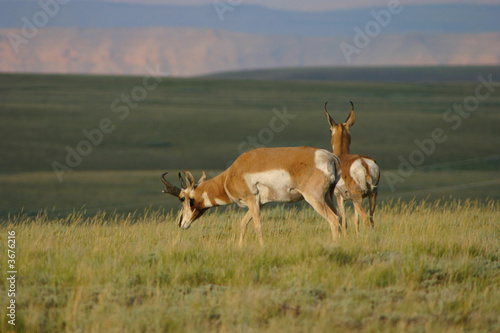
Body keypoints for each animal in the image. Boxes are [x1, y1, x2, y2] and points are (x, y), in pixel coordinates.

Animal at [162, 147, 342, 245]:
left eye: (183, 198)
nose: (180, 223)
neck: (230, 175)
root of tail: (330, 156)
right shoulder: (258, 203)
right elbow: (242, 223)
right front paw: (239, 246)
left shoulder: (252, 200)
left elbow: (257, 225)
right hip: (328, 197)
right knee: (340, 218)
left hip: (315, 198)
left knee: (333, 219)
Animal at [322, 101, 380, 233]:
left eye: (329, 129)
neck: (342, 156)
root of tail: (363, 163)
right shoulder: (353, 200)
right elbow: (355, 221)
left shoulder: (340, 197)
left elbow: (344, 222)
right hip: (372, 195)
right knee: (371, 219)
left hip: (357, 198)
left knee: (366, 218)